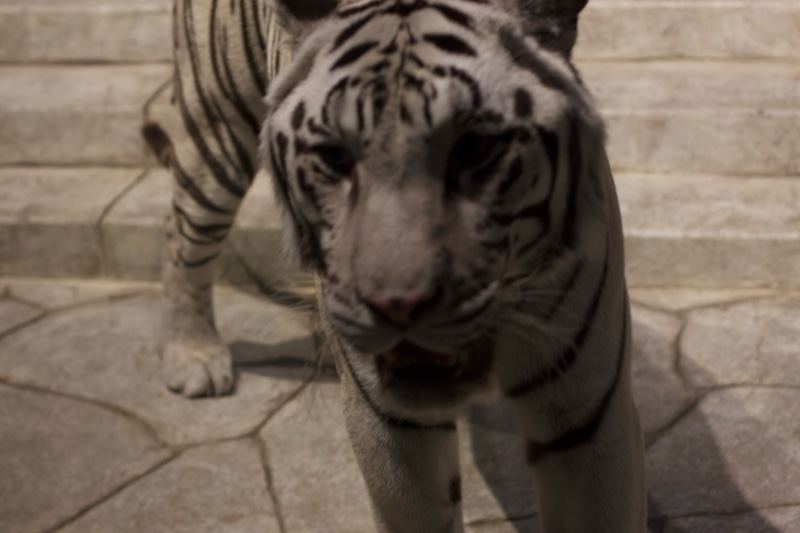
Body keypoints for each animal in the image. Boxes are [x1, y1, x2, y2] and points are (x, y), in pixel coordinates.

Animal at [142, 1, 647, 532]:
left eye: (474, 148)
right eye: (335, 157)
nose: (397, 304)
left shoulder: (586, 411)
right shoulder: (389, 420)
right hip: (218, 130)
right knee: (180, 232)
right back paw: (193, 357)